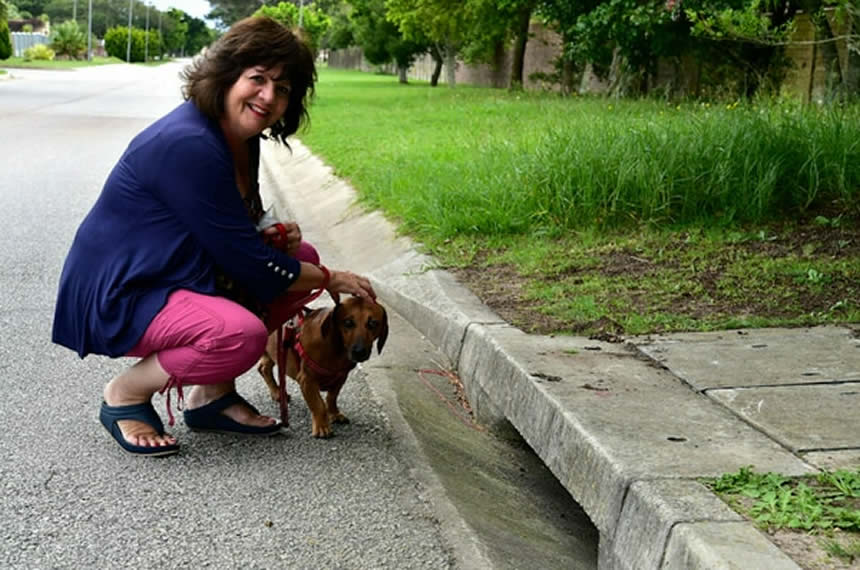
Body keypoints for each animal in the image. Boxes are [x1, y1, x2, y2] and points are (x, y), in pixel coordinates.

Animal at [258, 296, 388, 437]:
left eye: (373, 323)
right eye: (348, 322)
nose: (359, 352)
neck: (336, 349)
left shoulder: (341, 378)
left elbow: (331, 397)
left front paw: (334, 414)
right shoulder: (307, 380)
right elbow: (318, 405)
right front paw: (322, 426)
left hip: (274, 352)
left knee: (263, 368)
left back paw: (277, 392)